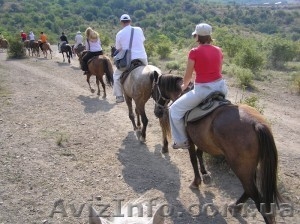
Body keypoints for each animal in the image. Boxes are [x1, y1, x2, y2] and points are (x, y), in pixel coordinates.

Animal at [151, 72, 282, 223]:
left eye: (154, 90)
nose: (157, 112)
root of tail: (257, 124)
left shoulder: (190, 140)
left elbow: (193, 159)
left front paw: (196, 181)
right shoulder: (201, 139)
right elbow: (199, 153)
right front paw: (205, 174)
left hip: (240, 166)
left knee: (255, 196)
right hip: (248, 166)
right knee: (249, 190)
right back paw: (235, 206)